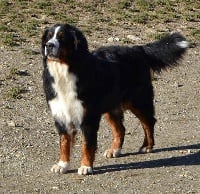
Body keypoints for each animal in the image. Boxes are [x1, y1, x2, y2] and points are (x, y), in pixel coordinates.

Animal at [41, 23, 188, 175]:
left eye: (62, 37)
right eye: (48, 37)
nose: (48, 45)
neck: (64, 71)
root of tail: (138, 49)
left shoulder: (88, 117)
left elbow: (87, 144)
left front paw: (86, 166)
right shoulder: (60, 114)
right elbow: (64, 142)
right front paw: (62, 165)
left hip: (137, 100)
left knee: (148, 121)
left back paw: (147, 146)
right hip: (111, 106)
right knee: (121, 129)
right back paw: (115, 150)